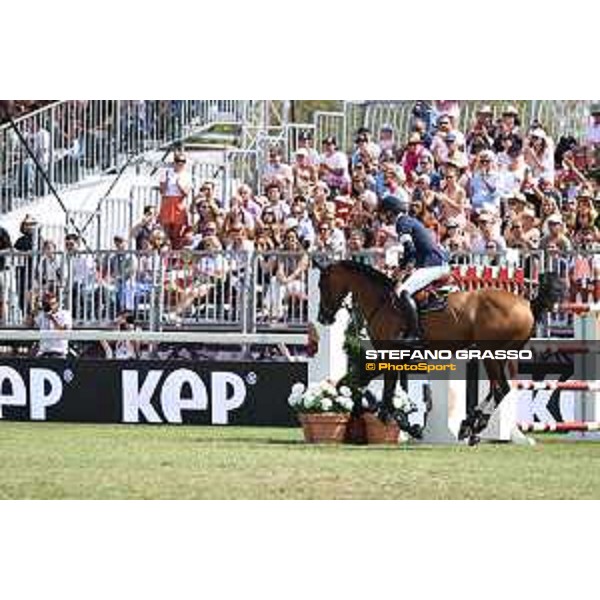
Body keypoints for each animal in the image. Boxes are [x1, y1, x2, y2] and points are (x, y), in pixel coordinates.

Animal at [312, 258, 564, 446]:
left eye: (322, 285)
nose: (323, 318)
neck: (381, 302)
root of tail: (527, 303)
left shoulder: (391, 354)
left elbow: (378, 391)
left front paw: (407, 426)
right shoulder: (401, 358)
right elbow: (367, 385)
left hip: (491, 354)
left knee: (500, 388)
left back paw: (474, 426)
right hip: (500, 356)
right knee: (498, 389)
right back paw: (469, 425)